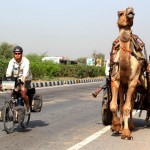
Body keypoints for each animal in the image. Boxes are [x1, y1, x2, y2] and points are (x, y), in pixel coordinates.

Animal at [109, 7, 146, 139]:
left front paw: (126, 132)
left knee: (130, 105)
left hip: (136, 86)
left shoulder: (133, 82)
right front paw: (115, 126)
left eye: (132, 13)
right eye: (119, 13)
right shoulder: (115, 79)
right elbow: (114, 105)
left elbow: (127, 107)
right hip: (122, 86)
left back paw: (131, 126)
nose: (130, 10)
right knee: (121, 103)